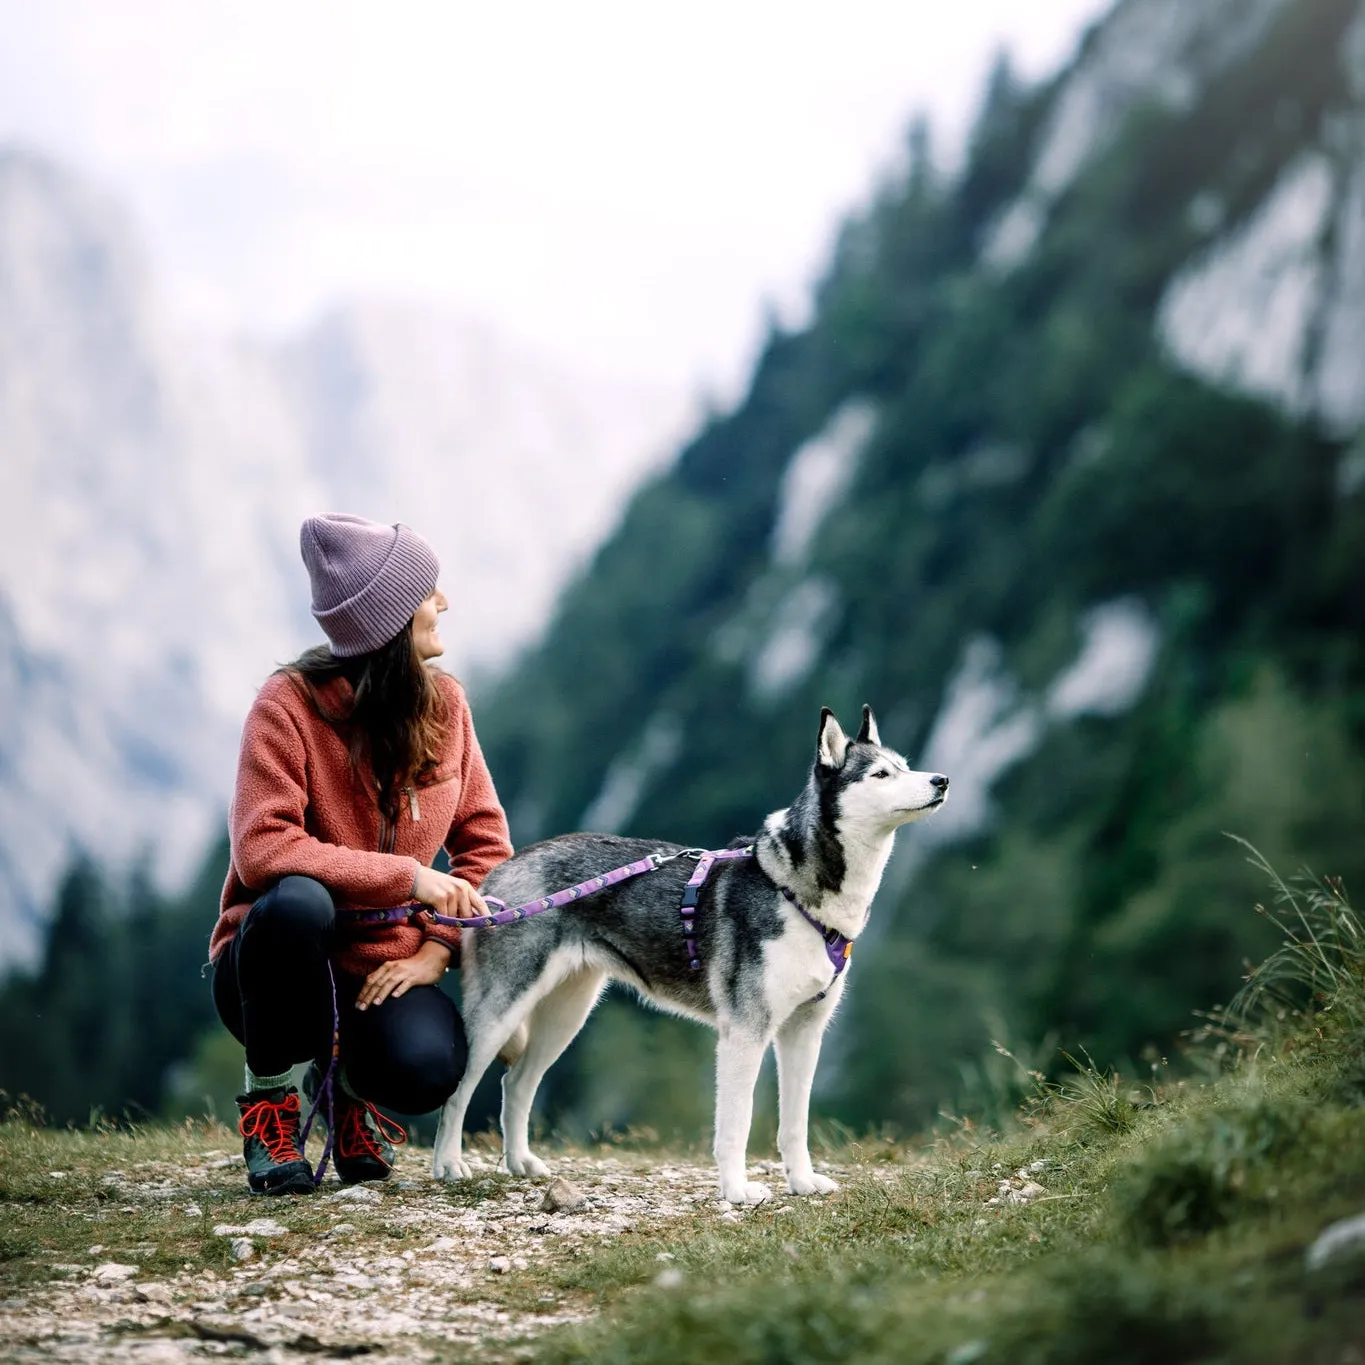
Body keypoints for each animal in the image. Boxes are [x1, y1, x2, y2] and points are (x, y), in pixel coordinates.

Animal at [431, 705, 948, 1204]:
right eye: (880, 774)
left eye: (905, 765)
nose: (941, 780)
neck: (795, 893)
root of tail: (500, 873)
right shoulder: (745, 1032)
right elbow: (737, 1124)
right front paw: (737, 1191)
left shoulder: (804, 1032)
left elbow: (794, 1125)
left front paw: (802, 1182)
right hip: (500, 1012)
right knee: (459, 1087)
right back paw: (449, 1165)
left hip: (567, 1015)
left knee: (516, 1083)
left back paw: (521, 1163)